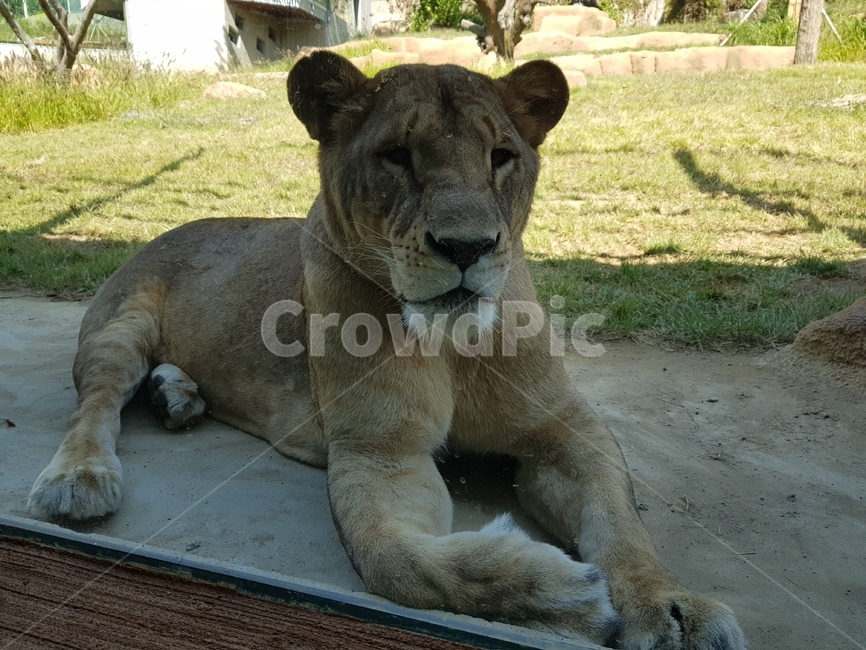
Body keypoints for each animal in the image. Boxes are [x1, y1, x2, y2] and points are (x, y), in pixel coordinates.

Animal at [28, 51, 745, 649]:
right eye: (397, 155)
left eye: (501, 155)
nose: (467, 247)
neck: (452, 343)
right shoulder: (379, 450)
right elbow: (399, 564)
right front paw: (556, 592)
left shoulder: (565, 432)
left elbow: (622, 527)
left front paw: (672, 610)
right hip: (119, 327)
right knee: (94, 404)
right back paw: (77, 479)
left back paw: (177, 396)